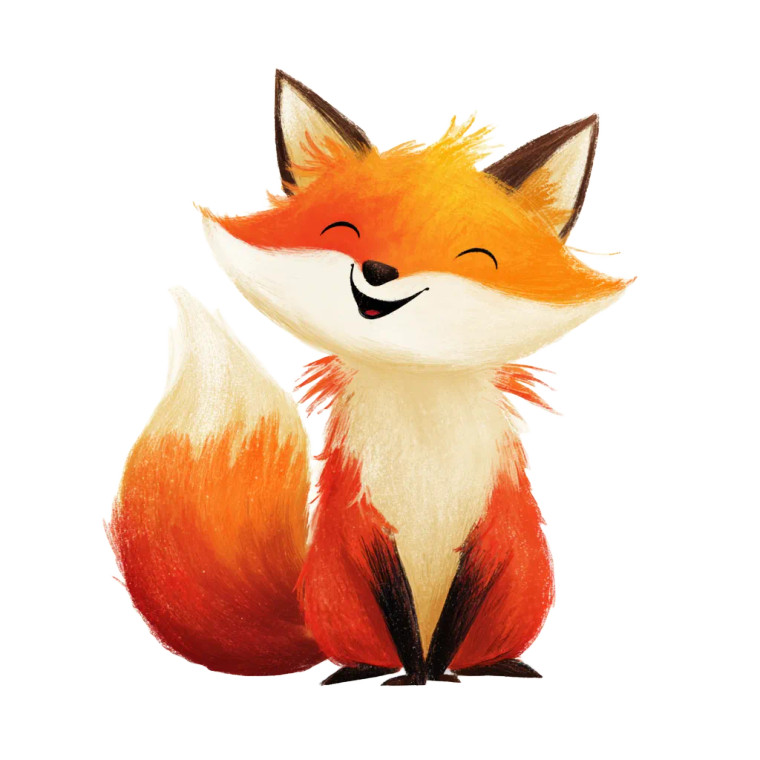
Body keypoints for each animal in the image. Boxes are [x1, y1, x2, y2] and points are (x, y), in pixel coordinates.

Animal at [109, 70, 630, 685]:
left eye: (473, 256)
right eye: (344, 231)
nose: (379, 272)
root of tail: (305, 599)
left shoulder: (492, 522)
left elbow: (458, 607)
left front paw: (436, 671)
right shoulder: (364, 521)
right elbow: (397, 607)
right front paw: (416, 674)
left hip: (521, 589)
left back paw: (487, 666)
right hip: (340, 591)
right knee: (365, 646)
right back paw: (365, 669)